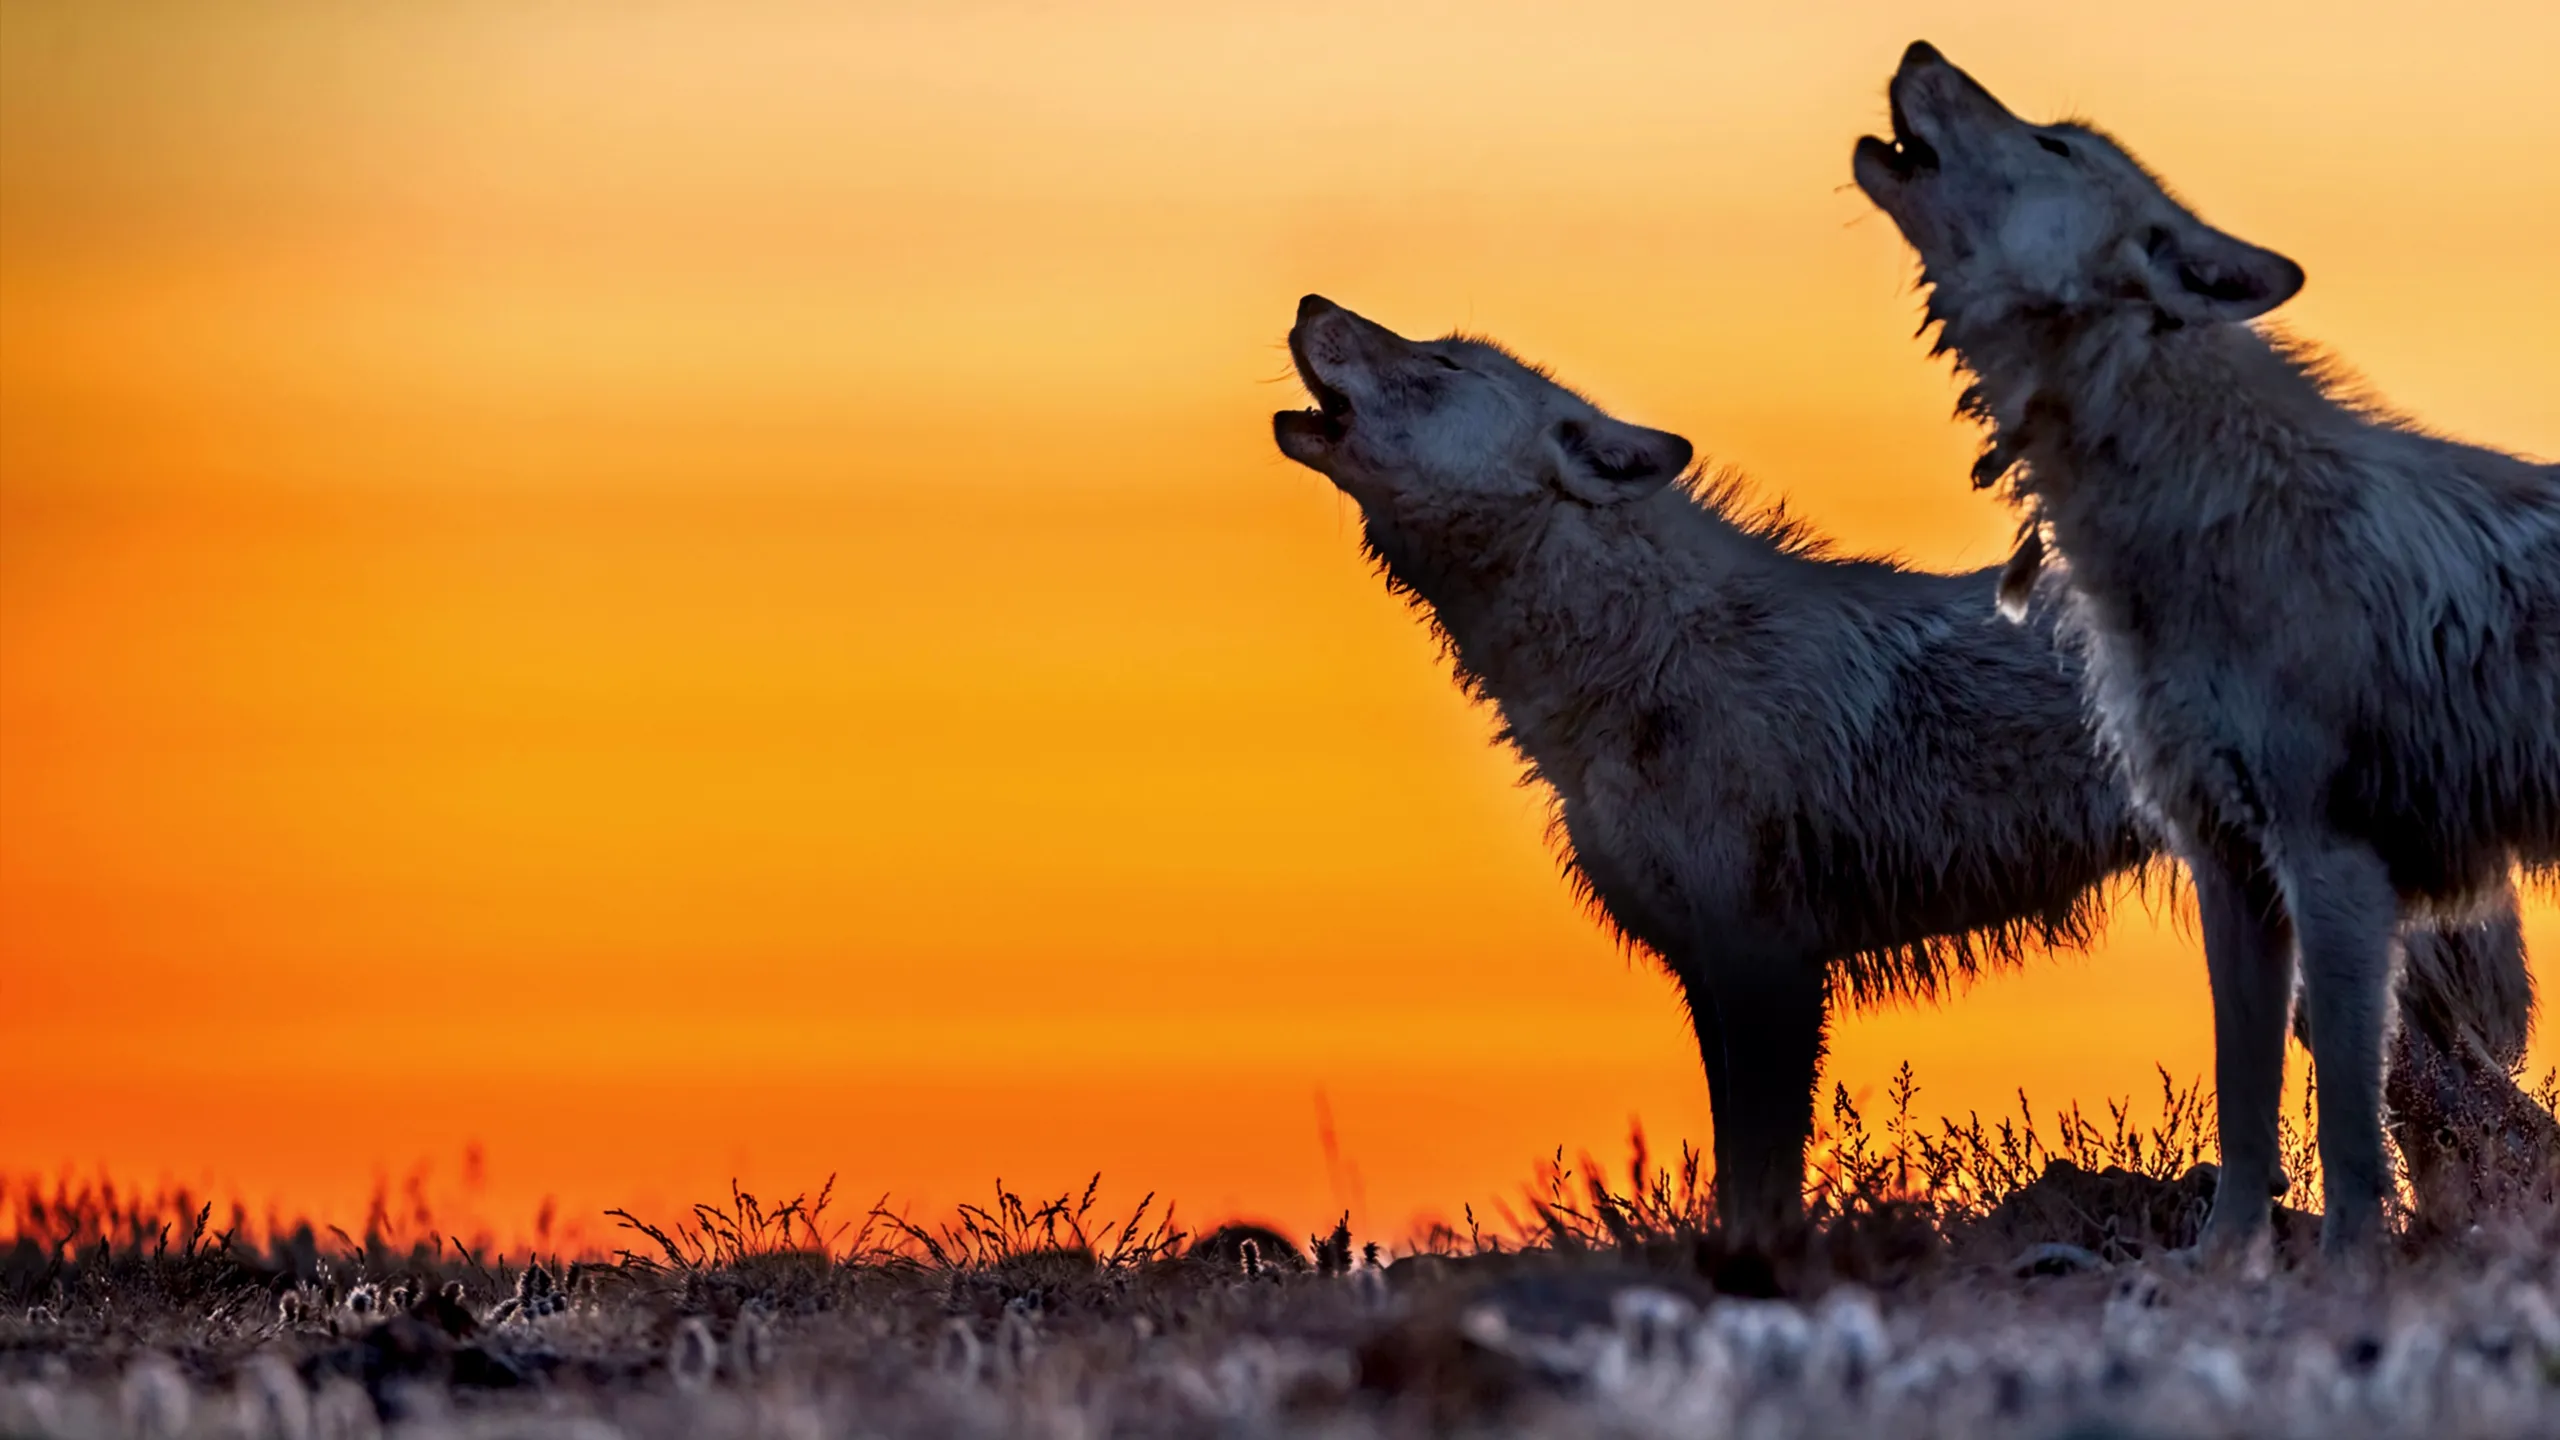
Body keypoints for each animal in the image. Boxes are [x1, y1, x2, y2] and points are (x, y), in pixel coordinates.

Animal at [1269, 294, 2541, 1249]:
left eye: (1434, 361)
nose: (1310, 304)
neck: (1643, 662)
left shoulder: (1769, 962)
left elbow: (1760, 1178)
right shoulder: (1714, 972)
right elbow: (1741, 1164)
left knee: (2493, 1126)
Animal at [1854, 41, 2560, 1263]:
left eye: (2054, 142)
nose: (1917, 50)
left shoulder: (2333, 865)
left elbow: (2344, 1123)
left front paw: (2344, 1271)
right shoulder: (2230, 869)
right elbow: (2243, 1105)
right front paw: (2221, 1268)